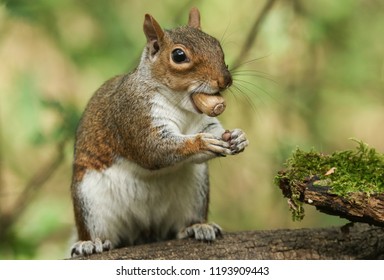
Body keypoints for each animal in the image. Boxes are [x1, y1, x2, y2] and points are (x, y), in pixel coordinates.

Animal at [69, 7, 249, 256]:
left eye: (216, 44)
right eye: (179, 56)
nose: (226, 80)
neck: (181, 105)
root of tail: (145, 229)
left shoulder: (205, 122)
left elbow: (214, 129)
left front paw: (238, 137)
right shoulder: (133, 114)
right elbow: (153, 150)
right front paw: (202, 143)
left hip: (195, 194)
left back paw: (196, 227)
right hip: (91, 202)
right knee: (96, 230)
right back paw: (91, 242)